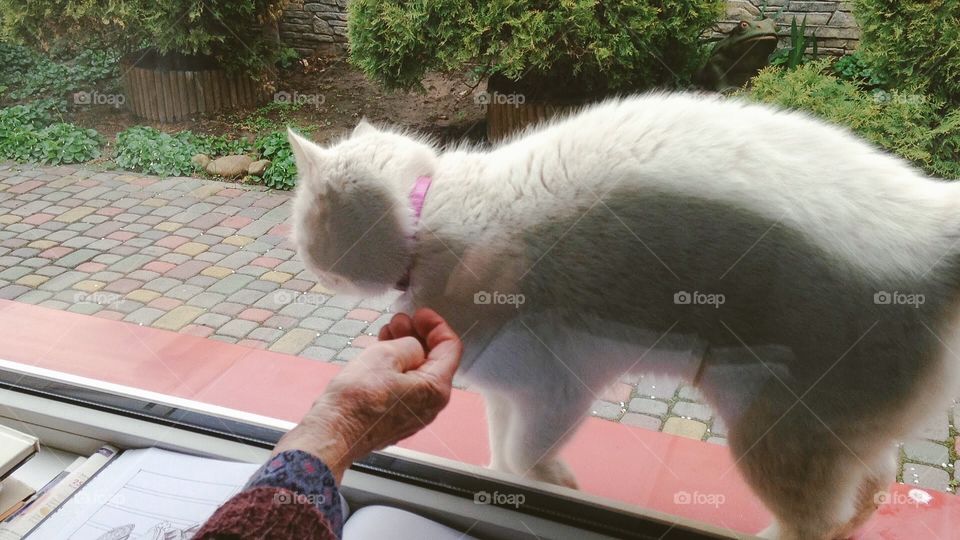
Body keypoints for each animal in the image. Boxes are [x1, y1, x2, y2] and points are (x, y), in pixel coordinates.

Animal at [288, 94, 960, 540]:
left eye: (299, 228)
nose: (306, 264)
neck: (431, 214)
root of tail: (932, 232)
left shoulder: (555, 391)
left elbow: (527, 456)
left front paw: (557, 485)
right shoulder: (510, 393)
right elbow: (504, 460)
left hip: (774, 432)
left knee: (815, 520)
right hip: (831, 430)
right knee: (872, 485)